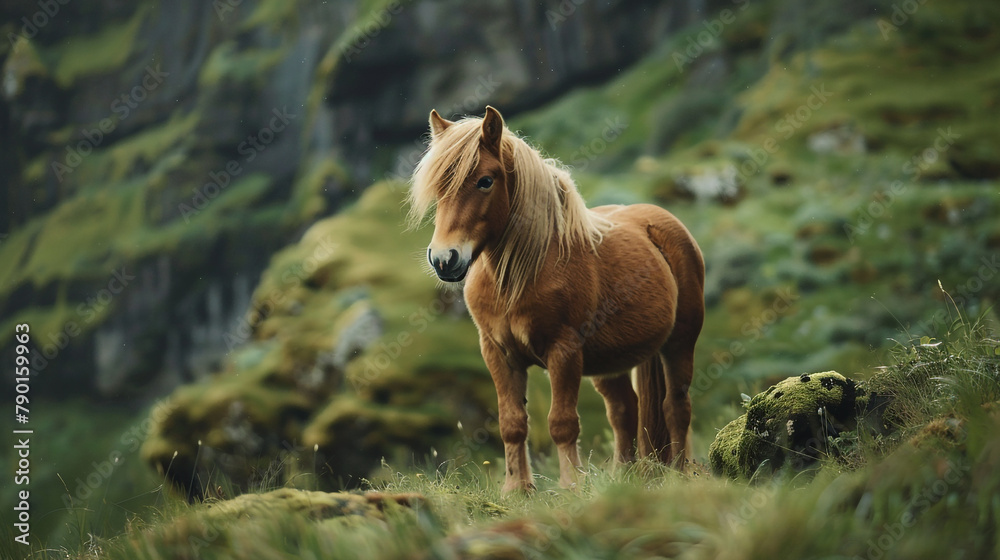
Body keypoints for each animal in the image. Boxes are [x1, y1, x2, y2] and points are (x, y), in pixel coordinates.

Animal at [408, 106, 704, 492]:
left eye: (485, 181)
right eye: (439, 187)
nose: (445, 259)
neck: (520, 274)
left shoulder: (563, 352)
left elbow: (562, 423)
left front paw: (570, 485)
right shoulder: (498, 353)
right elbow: (512, 423)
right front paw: (517, 489)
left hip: (679, 343)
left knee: (676, 406)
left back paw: (680, 475)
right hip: (610, 363)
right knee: (624, 411)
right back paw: (622, 478)